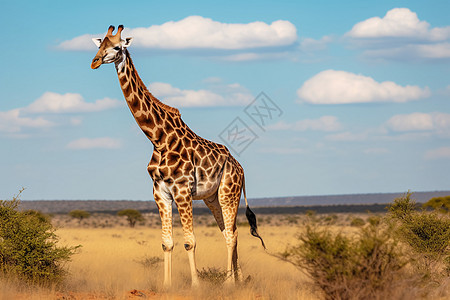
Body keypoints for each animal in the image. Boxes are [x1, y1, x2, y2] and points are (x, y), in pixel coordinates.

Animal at [90, 24, 264, 288]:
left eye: (117, 47)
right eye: (100, 45)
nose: (95, 61)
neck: (158, 138)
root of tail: (241, 168)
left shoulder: (182, 191)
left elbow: (189, 242)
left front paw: (196, 285)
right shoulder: (160, 192)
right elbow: (167, 243)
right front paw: (166, 285)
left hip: (228, 193)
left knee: (232, 235)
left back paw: (228, 282)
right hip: (212, 198)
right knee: (229, 231)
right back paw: (238, 279)